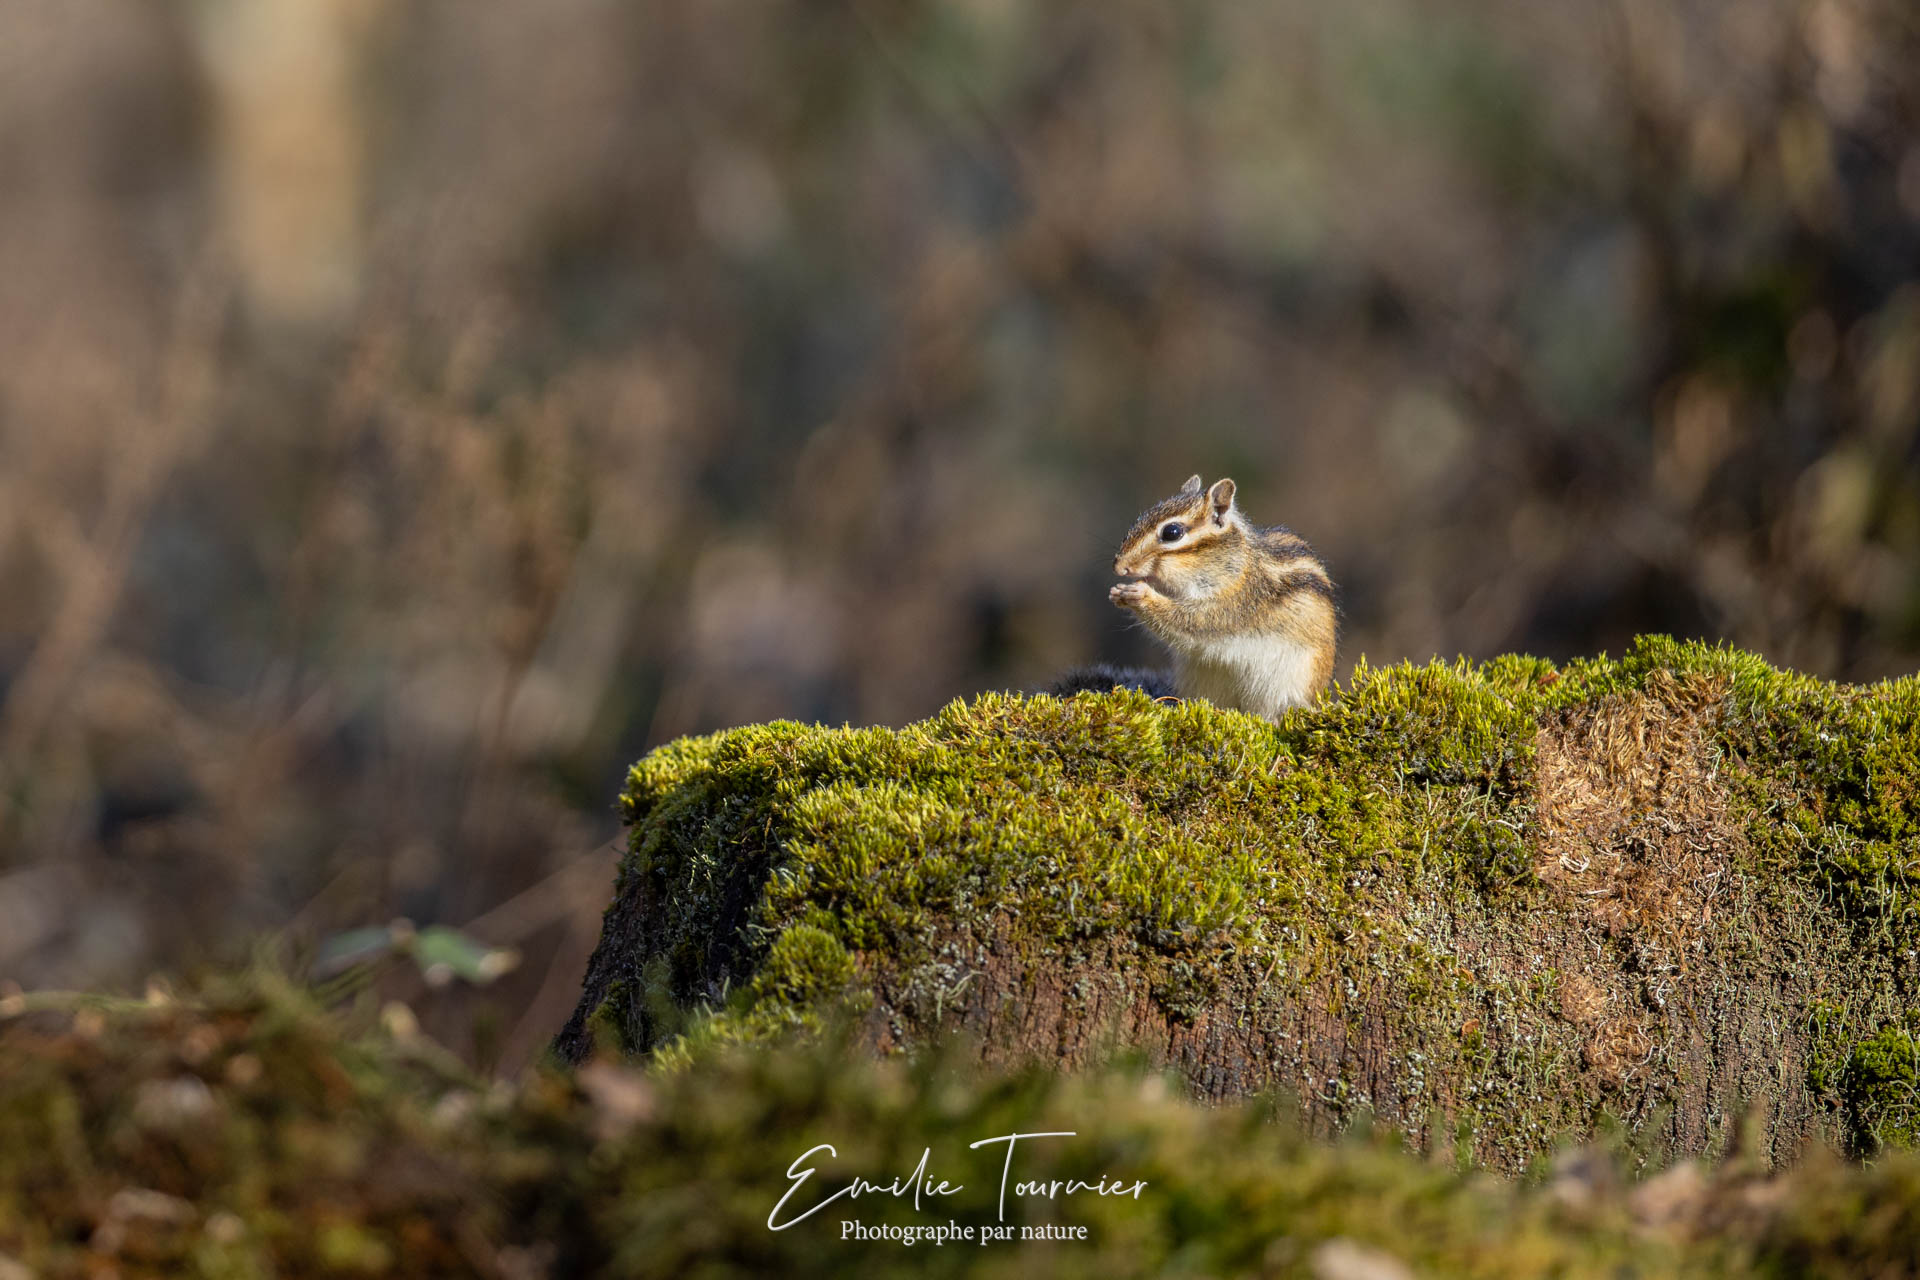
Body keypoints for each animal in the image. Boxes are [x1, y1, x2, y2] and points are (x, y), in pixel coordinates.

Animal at [1052, 475, 1336, 721]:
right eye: (1140, 518)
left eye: (1172, 532)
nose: (1119, 567)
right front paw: (1118, 593)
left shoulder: (1238, 600)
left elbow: (1194, 620)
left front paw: (1140, 595)